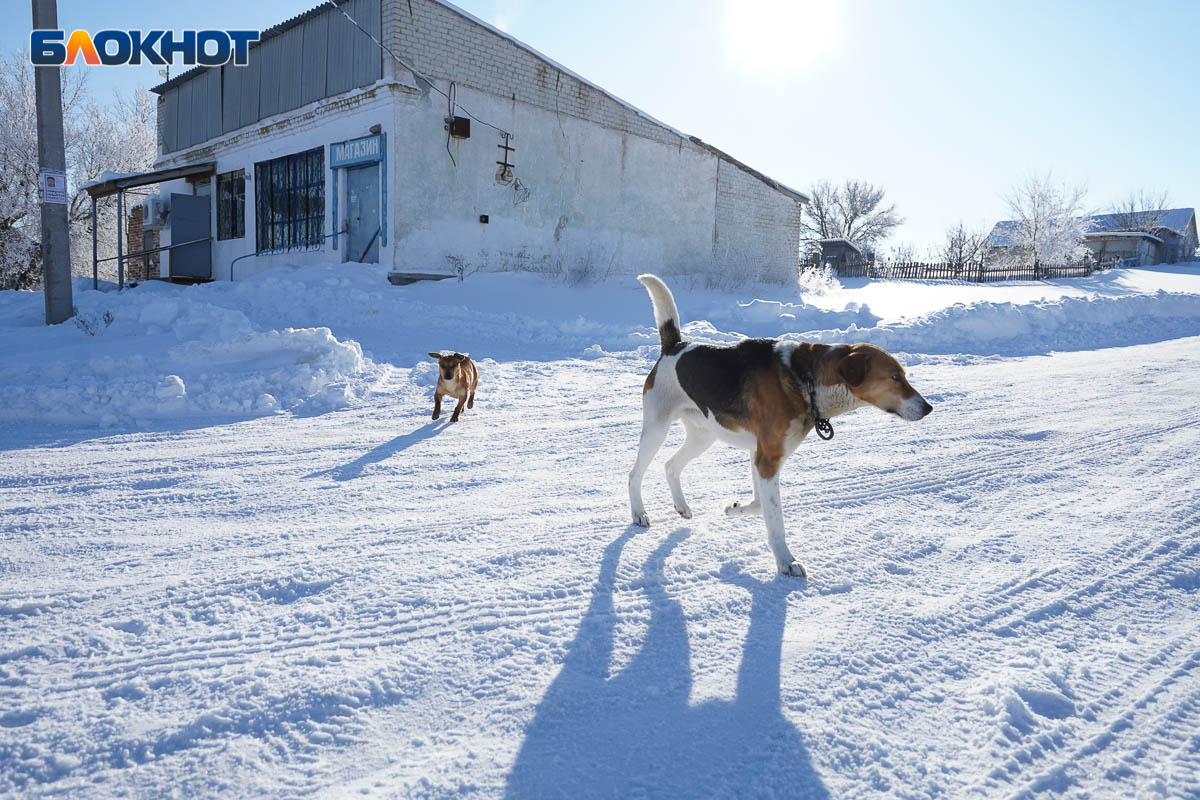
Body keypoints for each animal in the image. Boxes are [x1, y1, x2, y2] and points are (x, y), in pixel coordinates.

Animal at [633, 273, 931, 575]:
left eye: (903, 375)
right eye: (895, 377)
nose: (928, 408)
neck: (807, 381)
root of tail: (675, 347)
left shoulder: (759, 456)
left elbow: (758, 505)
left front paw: (735, 508)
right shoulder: (768, 460)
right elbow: (775, 521)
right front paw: (786, 561)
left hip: (703, 435)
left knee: (670, 466)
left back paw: (681, 506)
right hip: (657, 429)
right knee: (635, 474)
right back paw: (638, 513)